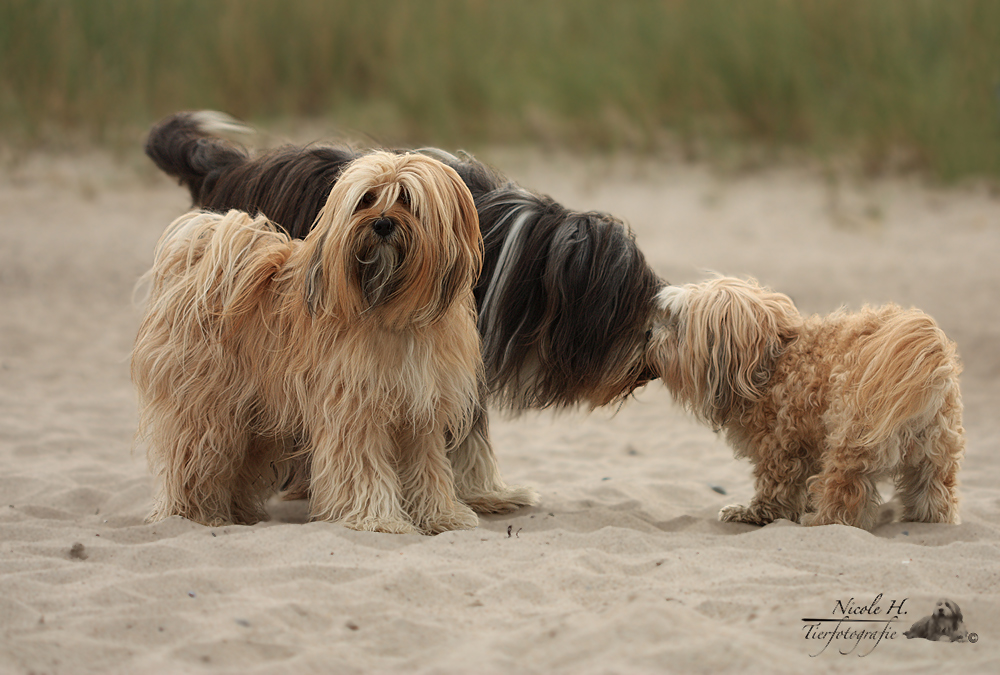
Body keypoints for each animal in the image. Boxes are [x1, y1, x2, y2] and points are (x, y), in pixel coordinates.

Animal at [131, 152, 516, 532]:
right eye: (367, 200)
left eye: (407, 199)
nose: (382, 224)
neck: (391, 312)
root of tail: (200, 264)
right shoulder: (355, 411)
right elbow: (364, 467)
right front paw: (378, 518)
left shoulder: (420, 415)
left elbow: (427, 468)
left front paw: (440, 515)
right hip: (210, 410)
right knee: (197, 460)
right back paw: (197, 515)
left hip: (256, 416)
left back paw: (239, 513)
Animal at [644, 278, 964, 532]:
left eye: (676, 323)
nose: (650, 333)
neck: (771, 360)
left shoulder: (781, 446)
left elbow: (774, 488)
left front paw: (752, 514)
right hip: (934, 456)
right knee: (933, 496)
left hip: (850, 445)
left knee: (843, 498)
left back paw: (819, 521)